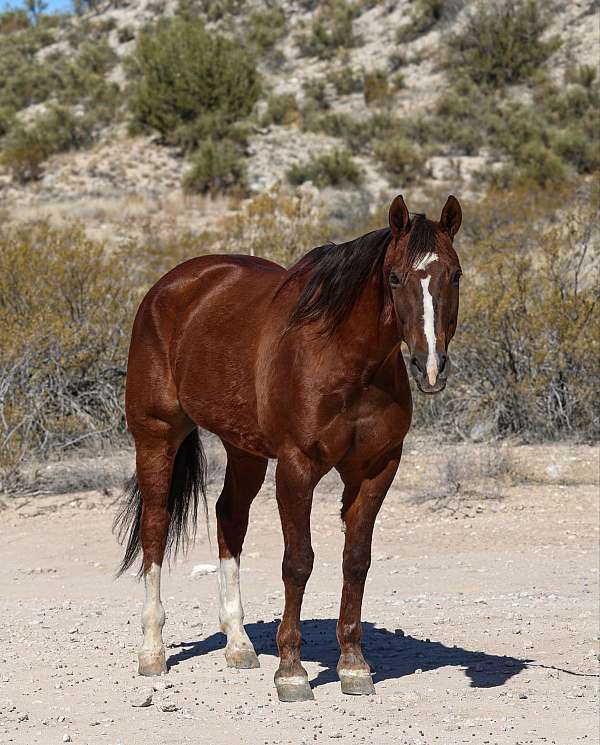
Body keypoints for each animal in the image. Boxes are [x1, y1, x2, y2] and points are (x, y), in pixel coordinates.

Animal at [116, 190, 464, 696]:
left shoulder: (376, 469)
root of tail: (173, 285)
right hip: (157, 436)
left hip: (243, 450)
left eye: (455, 274)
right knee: (156, 528)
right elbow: (298, 562)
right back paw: (152, 652)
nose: (430, 365)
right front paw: (292, 672)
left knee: (229, 519)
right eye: (395, 277)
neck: (346, 359)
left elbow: (356, 560)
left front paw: (353, 666)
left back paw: (239, 645)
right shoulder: (297, 468)